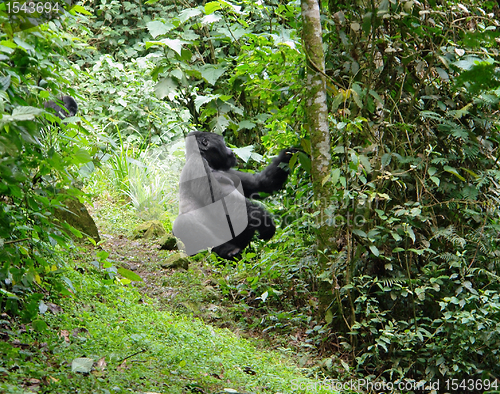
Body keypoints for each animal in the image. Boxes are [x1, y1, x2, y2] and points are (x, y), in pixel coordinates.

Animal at [173, 132, 294, 260]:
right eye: (223, 142)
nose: (230, 149)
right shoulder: (198, 164)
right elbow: (221, 201)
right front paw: (264, 220)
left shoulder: (228, 170)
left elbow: (260, 183)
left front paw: (288, 155)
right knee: (183, 223)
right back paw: (227, 251)